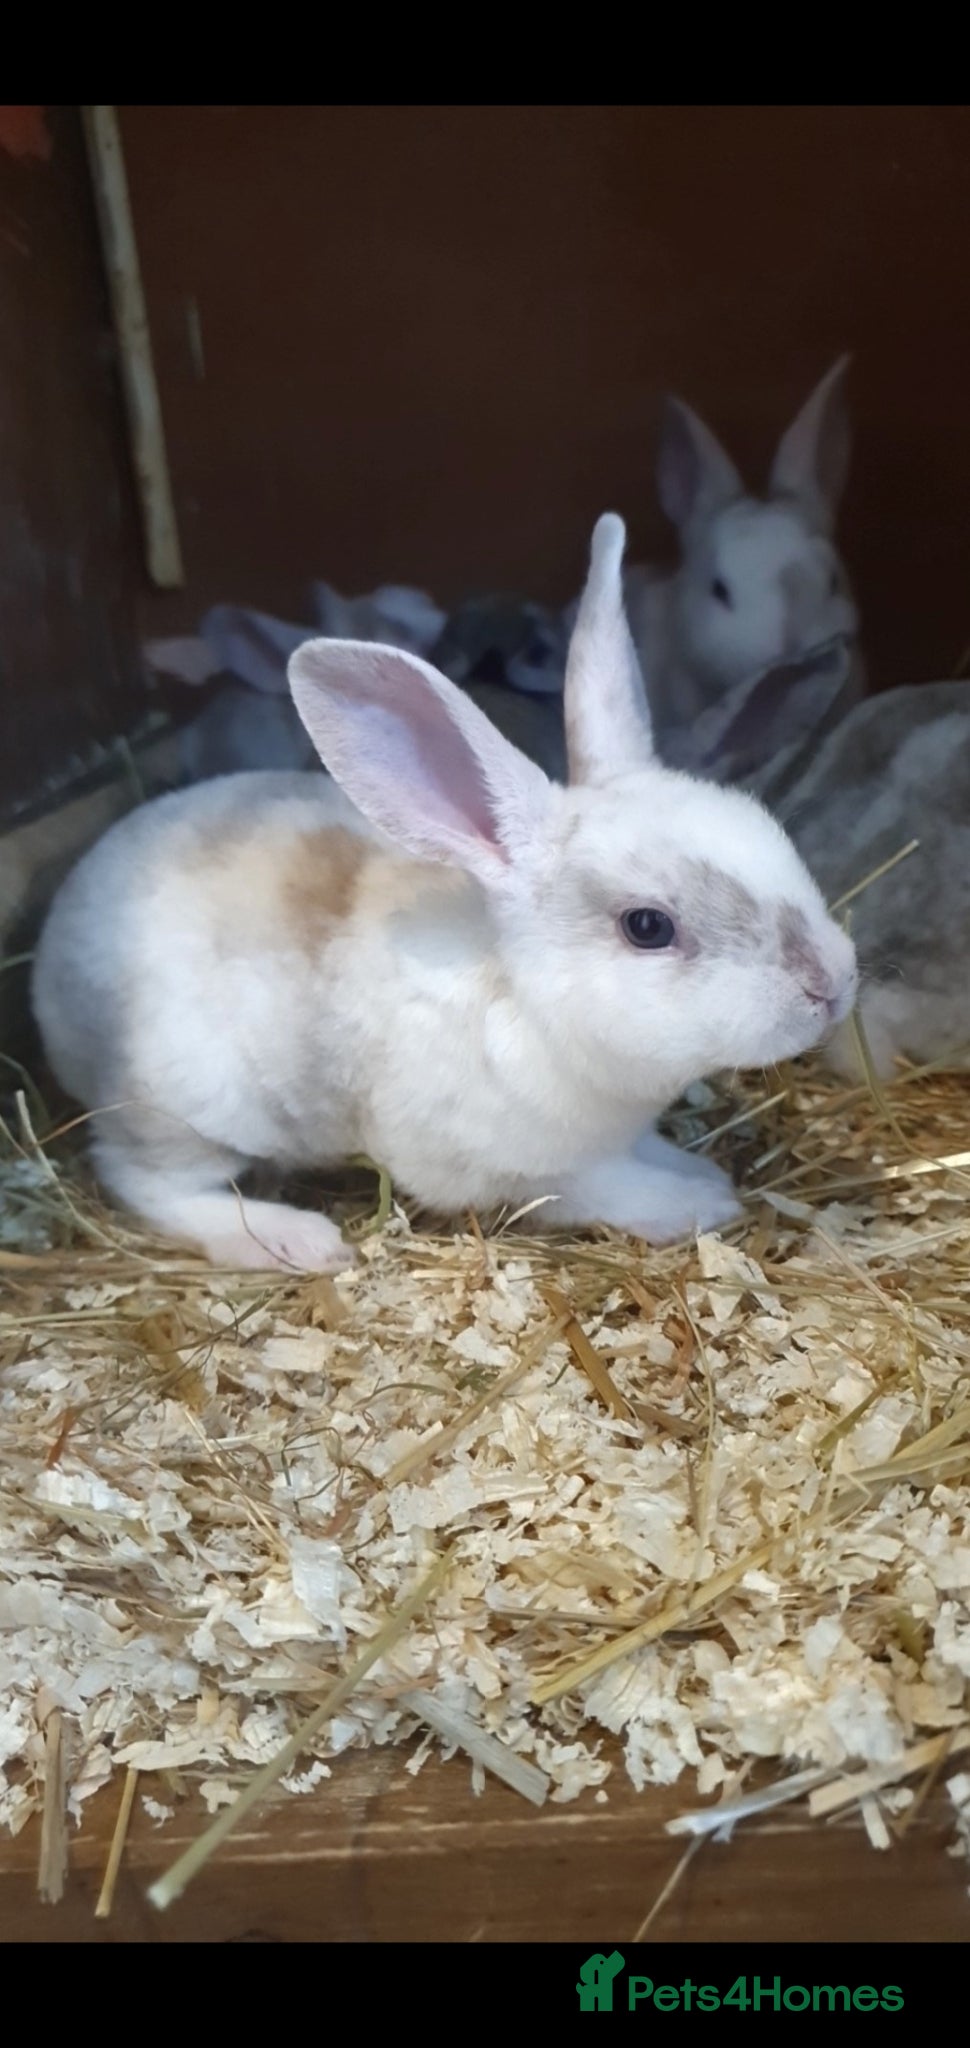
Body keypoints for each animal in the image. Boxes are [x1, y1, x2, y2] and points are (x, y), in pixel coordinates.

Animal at [31, 514, 858, 1274]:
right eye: (648, 926)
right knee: (149, 1183)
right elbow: (602, 1189)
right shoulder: (513, 1169)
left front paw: (692, 1167)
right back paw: (294, 1240)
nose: (834, 984)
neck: (524, 997)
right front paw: (701, 1200)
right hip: (182, 1111)